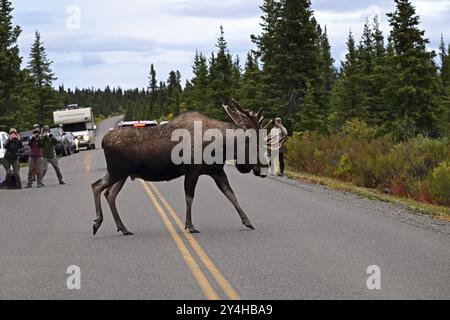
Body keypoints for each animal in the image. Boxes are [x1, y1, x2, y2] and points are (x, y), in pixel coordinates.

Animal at [91, 101, 274, 236]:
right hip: (117, 172)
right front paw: (190, 226)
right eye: (253, 143)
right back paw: (97, 223)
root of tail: (103, 141)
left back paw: (123, 228)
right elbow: (189, 197)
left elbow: (231, 195)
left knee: (109, 194)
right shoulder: (192, 171)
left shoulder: (216, 171)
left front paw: (248, 221)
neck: (220, 145)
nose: (264, 166)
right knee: (97, 186)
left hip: (122, 175)